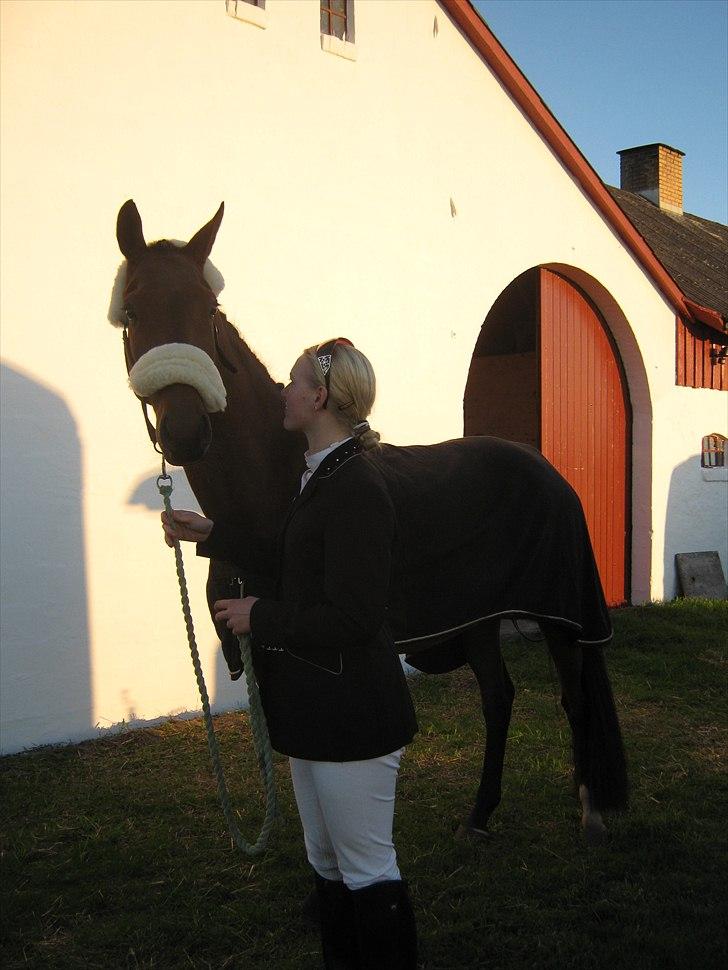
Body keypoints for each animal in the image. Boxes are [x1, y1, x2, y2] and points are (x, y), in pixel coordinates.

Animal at [111, 200, 628, 844]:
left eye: (208, 310)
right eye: (132, 310)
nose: (185, 431)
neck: (282, 476)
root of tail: (549, 471)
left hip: (559, 617)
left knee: (573, 698)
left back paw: (591, 811)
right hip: (478, 619)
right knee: (499, 696)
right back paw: (480, 814)